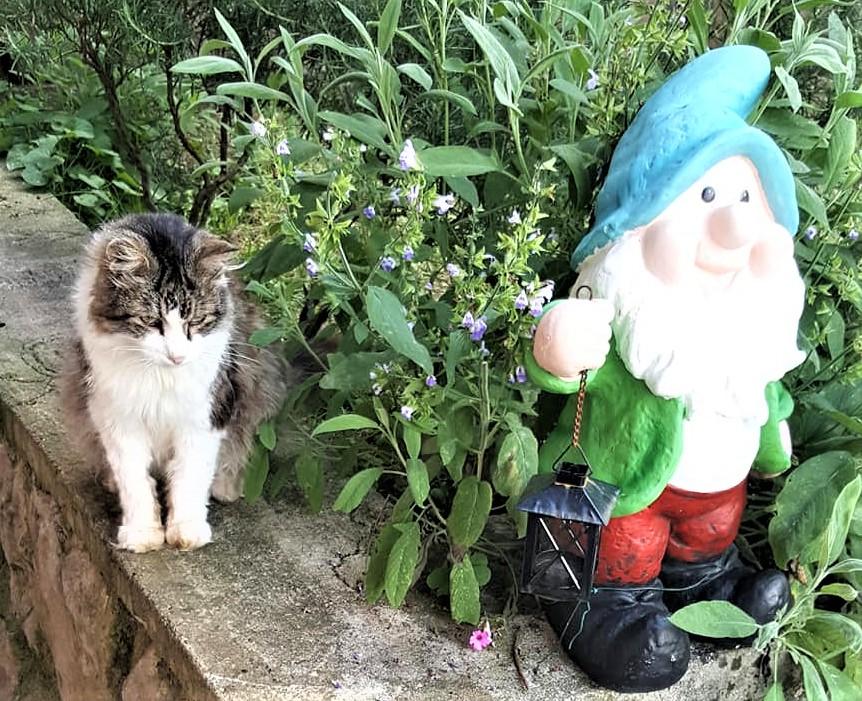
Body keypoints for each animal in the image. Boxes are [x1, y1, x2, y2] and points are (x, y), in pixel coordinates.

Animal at [61, 213, 289, 552]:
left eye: (196, 321)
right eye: (151, 322)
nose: (177, 356)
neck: (161, 376)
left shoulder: (203, 417)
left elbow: (189, 477)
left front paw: (187, 530)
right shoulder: (117, 418)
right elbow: (135, 481)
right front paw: (143, 532)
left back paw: (225, 486)